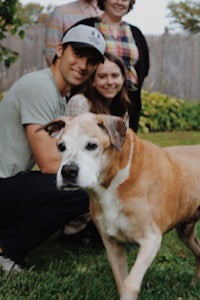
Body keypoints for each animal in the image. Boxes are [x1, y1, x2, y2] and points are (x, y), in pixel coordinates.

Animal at [39, 113, 200, 300]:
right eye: (61, 146)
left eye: (92, 146)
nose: (67, 171)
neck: (114, 182)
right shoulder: (112, 244)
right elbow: (121, 281)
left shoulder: (150, 240)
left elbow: (130, 283)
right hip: (185, 232)